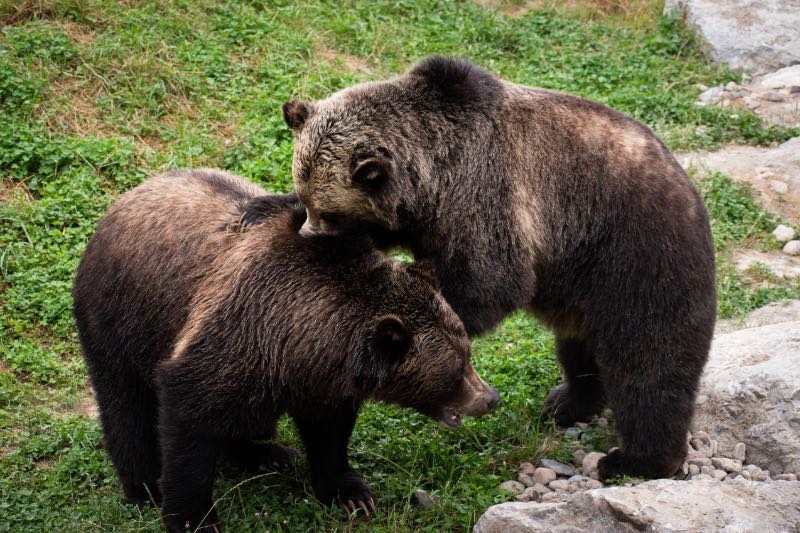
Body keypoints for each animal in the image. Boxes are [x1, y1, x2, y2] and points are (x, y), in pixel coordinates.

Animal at [75, 168, 500, 528]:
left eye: (467, 352)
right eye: (456, 369)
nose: (489, 397)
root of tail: (127, 196)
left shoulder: (319, 376)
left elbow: (329, 433)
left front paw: (350, 493)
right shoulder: (232, 333)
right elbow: (187, 422)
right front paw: (192, 517)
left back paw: (267, 452)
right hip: (121, 318)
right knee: (125, 404)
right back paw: (144, 486)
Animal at [247, 56, 716, 480]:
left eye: (330, 211)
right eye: (304, 194)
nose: (311, 236)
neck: (434, 173)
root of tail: (694, 196)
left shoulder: (486, 195)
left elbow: (491, 283)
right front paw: (262, 207)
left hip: (634, 263)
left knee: (648, 367)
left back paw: (635, 459)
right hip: (581, 290)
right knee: (577, 350)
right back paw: (566, 403)